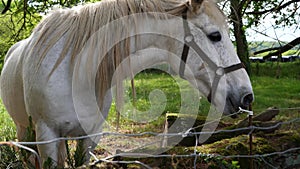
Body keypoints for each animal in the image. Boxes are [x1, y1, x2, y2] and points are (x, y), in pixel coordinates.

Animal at [0, 0, 253, 166]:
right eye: (214, 35)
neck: (76, 69)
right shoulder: (47, 135)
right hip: (24, 130)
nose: (247, 96)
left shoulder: (89, 137)